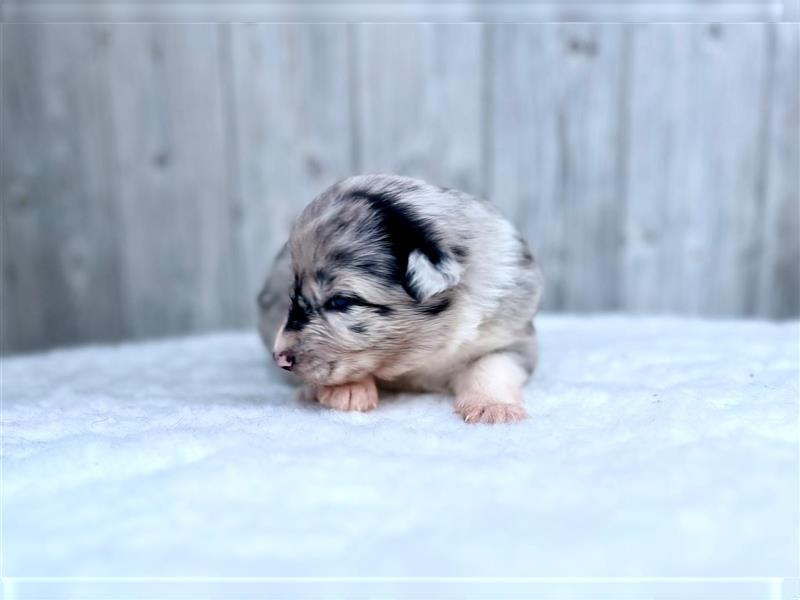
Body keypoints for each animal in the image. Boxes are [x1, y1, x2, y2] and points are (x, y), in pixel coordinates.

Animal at [256, 175, 544, 426]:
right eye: (293, 293)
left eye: (340, 302)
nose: (279, 357)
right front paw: (347, 390)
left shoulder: (511, 337)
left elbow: (491, 366)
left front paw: (493, 407)